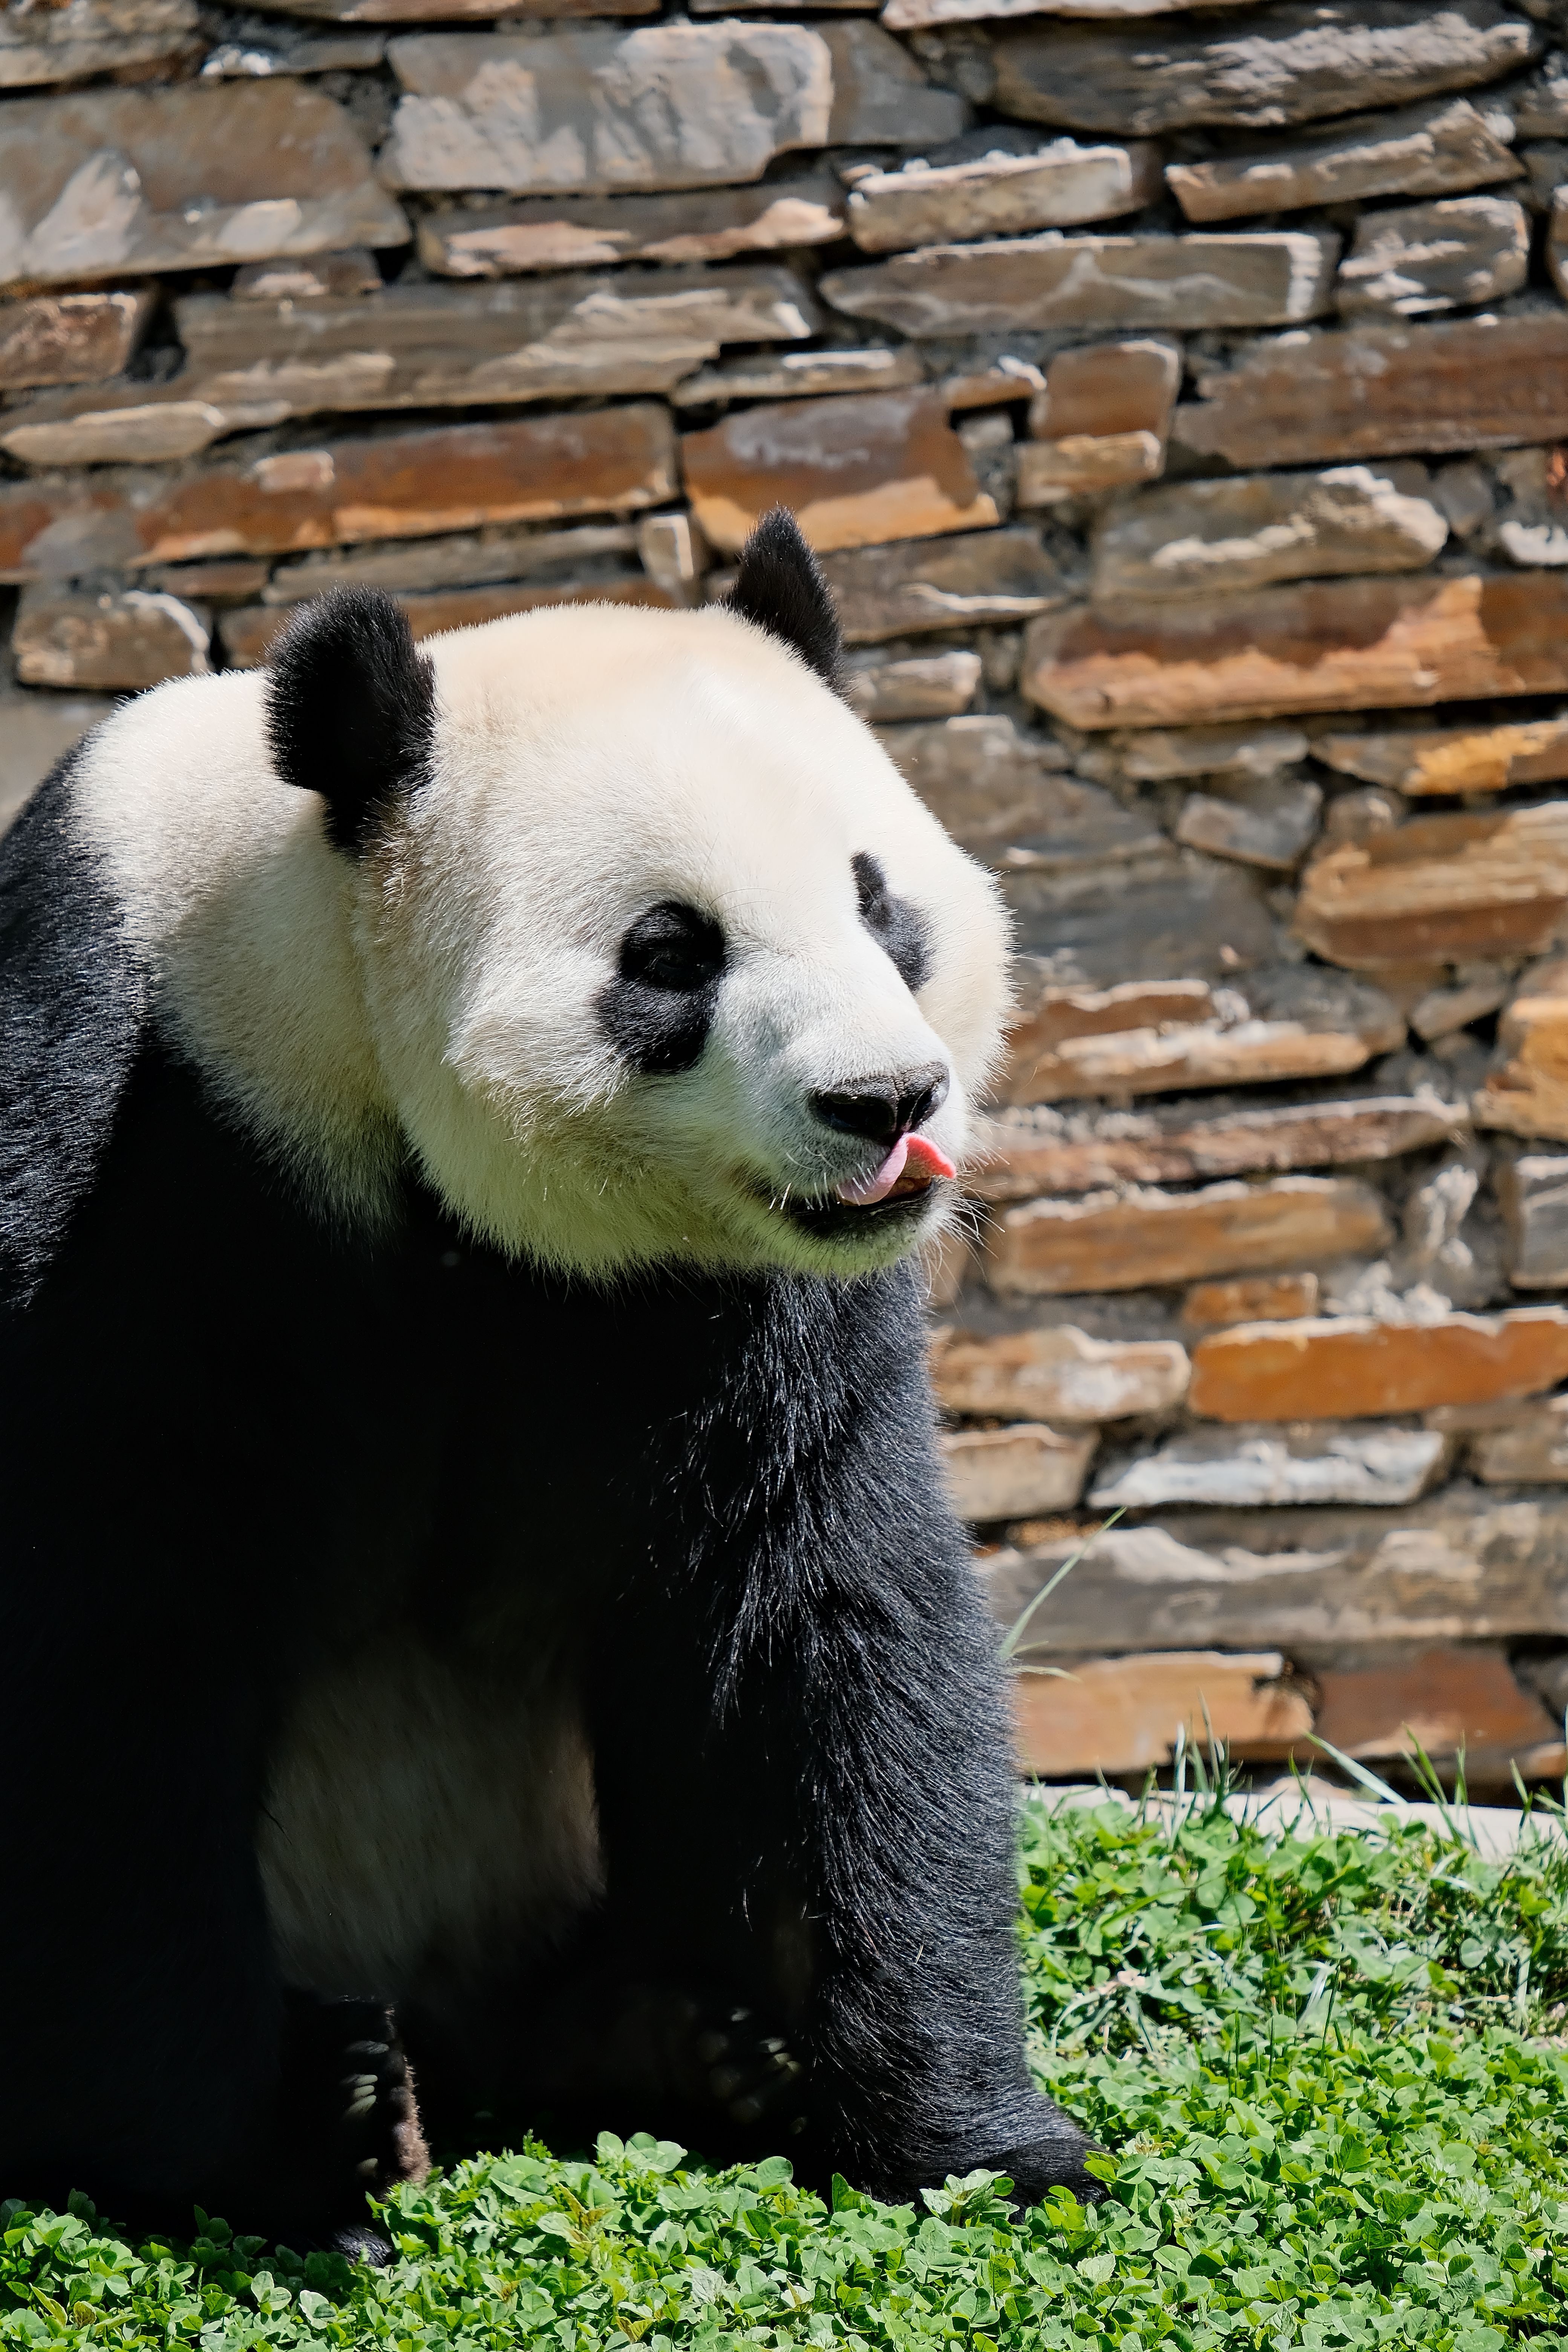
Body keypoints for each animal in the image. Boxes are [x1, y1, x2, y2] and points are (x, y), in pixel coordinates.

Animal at [0, 509, 1096, 2249]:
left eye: (880, 904)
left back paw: (669, 2039)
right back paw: (372, 2086)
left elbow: (817, 1607)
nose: (884, 1103)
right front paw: (255, 2149)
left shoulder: (742, 1305)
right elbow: (98, 1645)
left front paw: (976, 2140)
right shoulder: (132, 1158)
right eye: (672, 952)